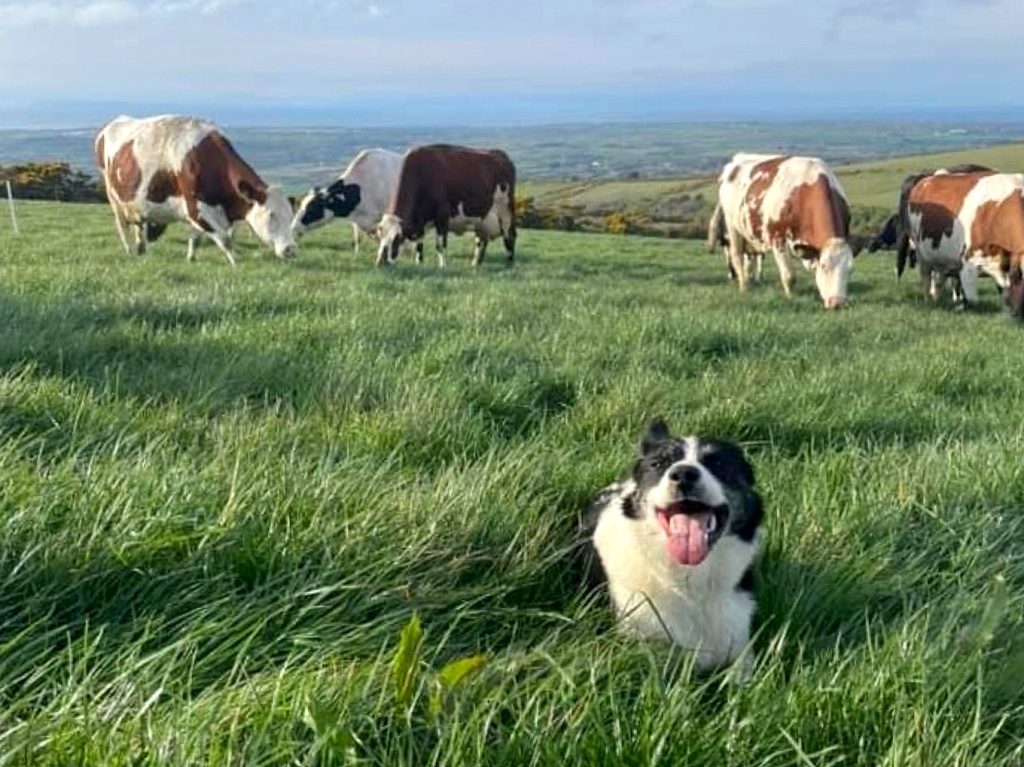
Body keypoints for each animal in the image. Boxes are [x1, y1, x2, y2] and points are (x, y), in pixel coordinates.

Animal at [95, 115, 296, 265]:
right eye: (271, 215)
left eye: (291, 215)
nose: (291, 249)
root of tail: (112, 124)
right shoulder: (195, 208)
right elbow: (225, 238)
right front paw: (236, 263)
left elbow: (196, 237)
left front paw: (191, 258)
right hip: (112, 195)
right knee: (122, 225)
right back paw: (129, 250)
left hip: (135, 203)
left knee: (138, 223)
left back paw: (140, 248)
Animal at [291, 148, 421, 261]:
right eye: (300, 205)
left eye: (312, 208)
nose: (293, 228)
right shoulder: (359, 220)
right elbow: (359, 239)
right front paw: (356, 255)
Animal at [377, 144, 516, 268]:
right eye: (380, 235)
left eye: (396, 238)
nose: (380, 262)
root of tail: (502, 155)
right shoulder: (420, 220)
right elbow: (419, 244)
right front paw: (419, 263)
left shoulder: (442, 215)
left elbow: (440, 244)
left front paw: (443, 265)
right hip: (482, 218)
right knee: (481, 239)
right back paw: (475, 263)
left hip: (505, 210)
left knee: (510, 234)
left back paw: (509, 262)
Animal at [716, 153, 856, 309]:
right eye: (825, 266)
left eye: (850, 270)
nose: (837, 303)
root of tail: (738, 159)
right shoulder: (778, 238)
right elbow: (789, 276)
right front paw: (790, 297)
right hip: (732, 226)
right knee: (737, 256)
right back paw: (744, 287)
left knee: (750, 259)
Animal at [905, 170, 1024, 315]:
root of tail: (927, 179)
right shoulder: (968, 263)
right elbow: (974, 301)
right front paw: (963, 308)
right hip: (921, 254)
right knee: (926, 280)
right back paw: (929, 303)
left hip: (943, 259)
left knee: (939, 282)